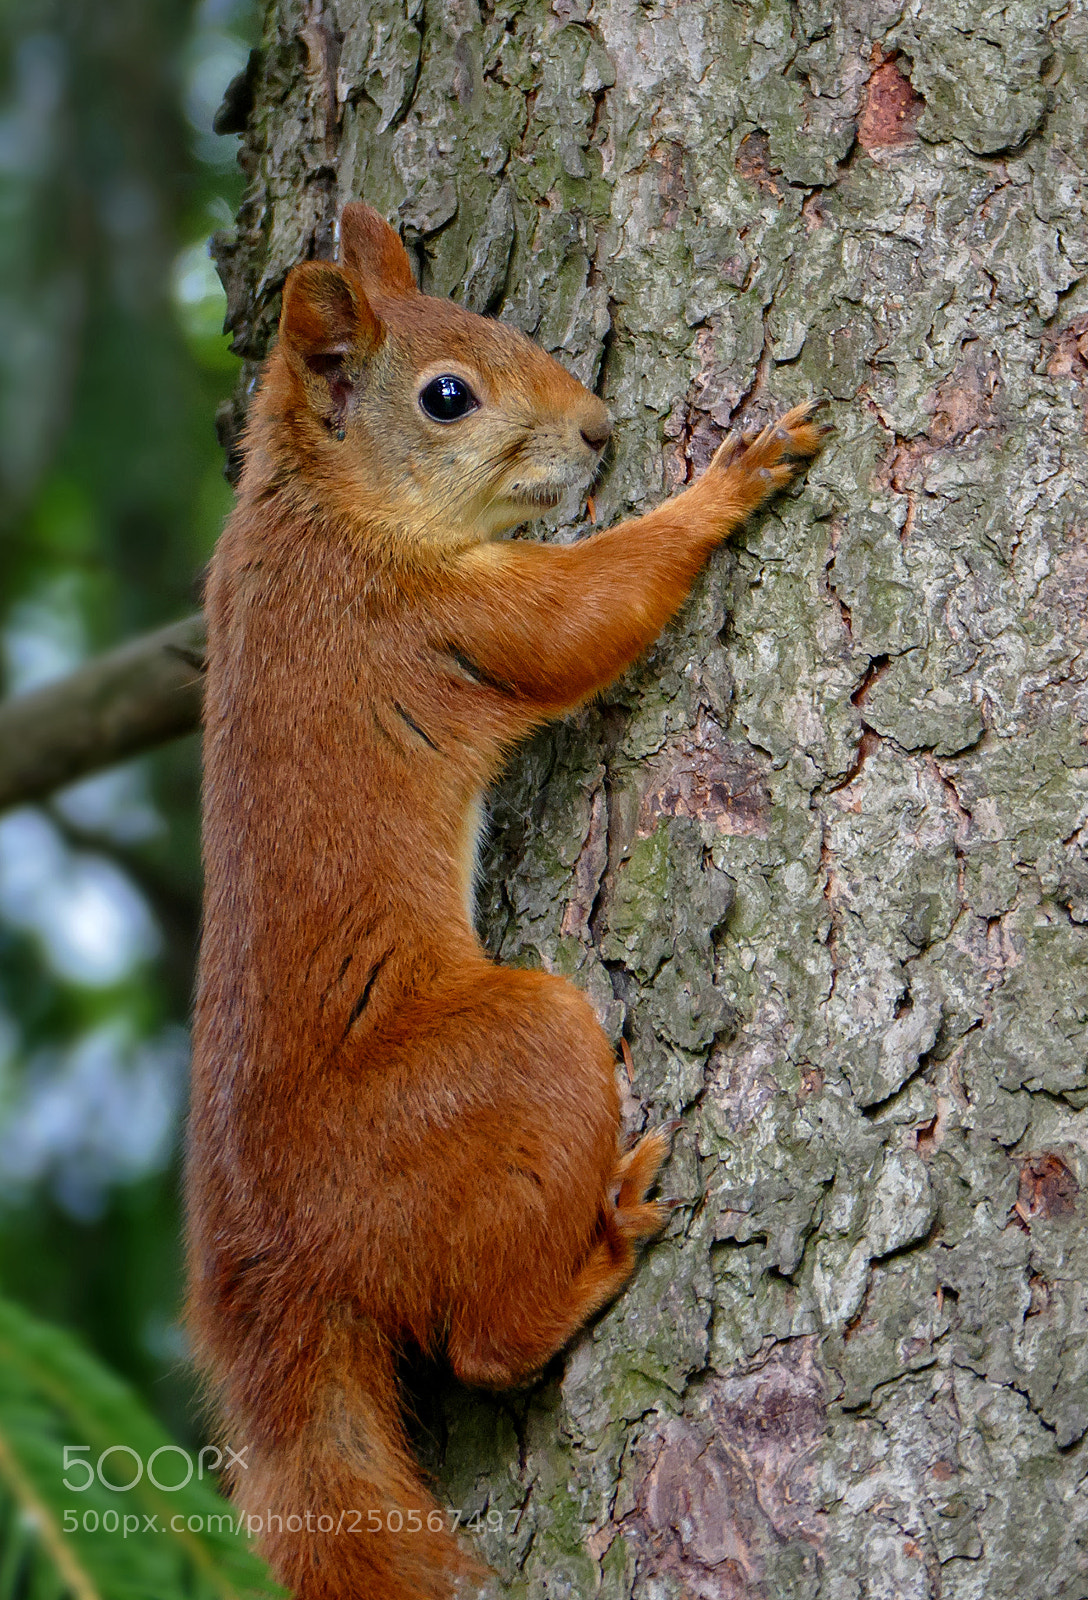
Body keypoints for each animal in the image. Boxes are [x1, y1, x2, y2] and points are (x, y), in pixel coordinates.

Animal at [185, 200, 826, 1600]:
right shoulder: (432, 617)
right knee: (483, 1343)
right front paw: (729, 480)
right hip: (509, 1058)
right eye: (445, 395)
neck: (318, 509)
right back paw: (607, 1242)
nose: (598, 429)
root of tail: (277, 1265)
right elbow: (588, 614)